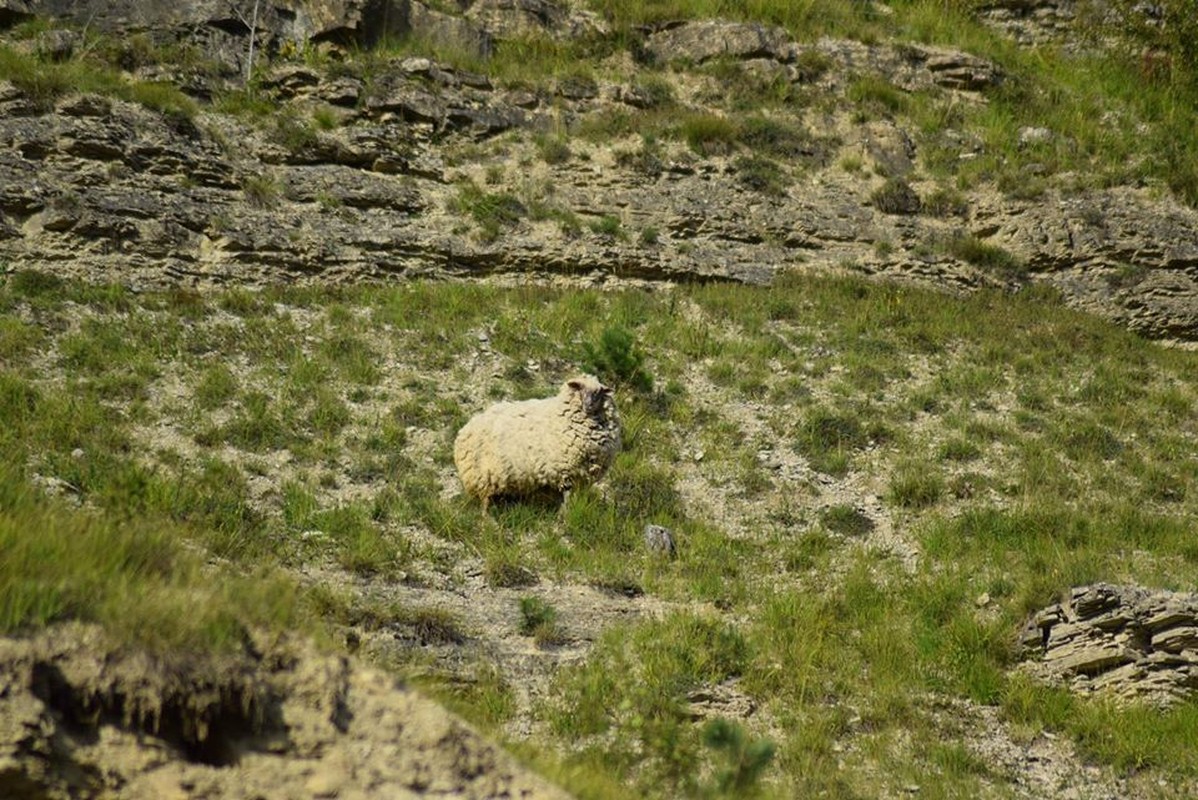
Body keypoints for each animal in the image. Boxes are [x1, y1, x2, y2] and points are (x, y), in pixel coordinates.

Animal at [452, 376, 622, 512]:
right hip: (481, 475)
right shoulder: (566, 471)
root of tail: (464, 430)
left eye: (599, 392)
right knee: (485, 501)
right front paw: (565, 515)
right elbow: (567, 497)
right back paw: (488, 521)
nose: (589, 405)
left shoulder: (581, 476)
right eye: (580, 388)